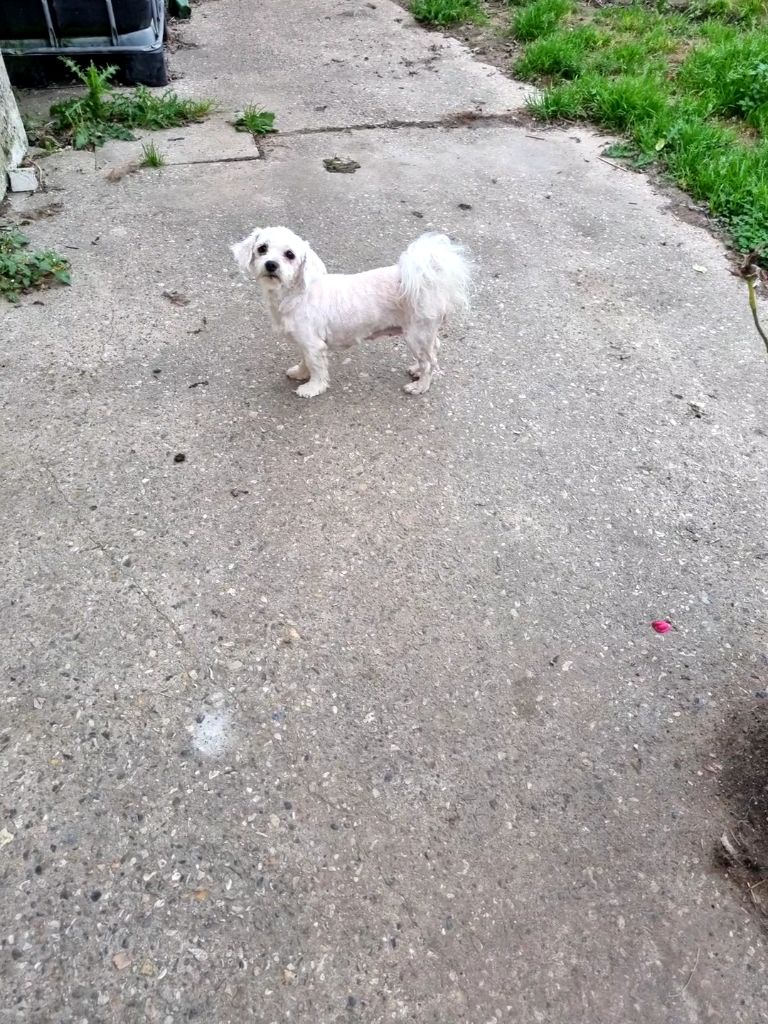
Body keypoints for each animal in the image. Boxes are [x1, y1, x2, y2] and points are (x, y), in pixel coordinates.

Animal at [230, 226, 468, 397]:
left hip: (416, 336)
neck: (296, 295)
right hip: (424, 335)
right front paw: (300, 373)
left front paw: (312, 388)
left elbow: (317, 368)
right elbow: (305, 360)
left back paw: (420, 386)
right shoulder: (304, 343)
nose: (271, 264)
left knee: (429, 363)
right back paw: (416, 371)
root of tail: (429, 279)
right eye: (262, 248)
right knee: (433, 351)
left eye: (290, 254)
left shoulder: (314, 345)